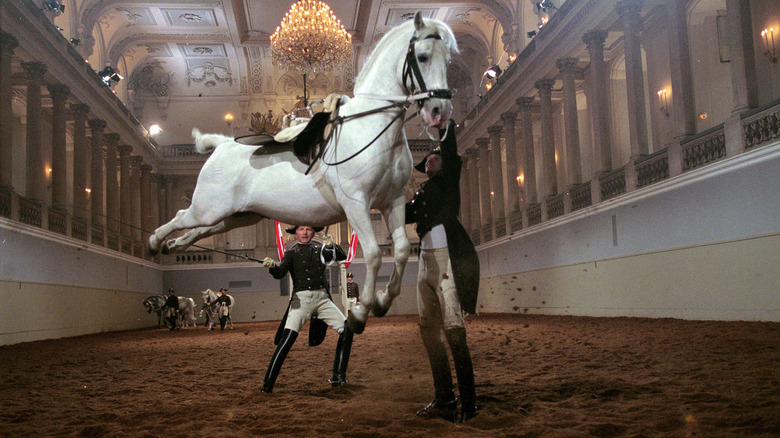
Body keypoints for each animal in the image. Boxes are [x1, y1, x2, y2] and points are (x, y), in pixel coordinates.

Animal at [146, 12, 458, 336]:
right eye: (422, 57)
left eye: (448, 59)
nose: (440, 110)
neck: (370, 127)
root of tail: (221, 145)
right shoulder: (356, 203)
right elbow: (372, 254)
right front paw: (360, 313)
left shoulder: (392, 201)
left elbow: (400, 250)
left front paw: (383, 301)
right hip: (209, 208)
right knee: (181, 217)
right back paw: (156, 243)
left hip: (237, 216)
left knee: (198, 231)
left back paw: (172, 246)